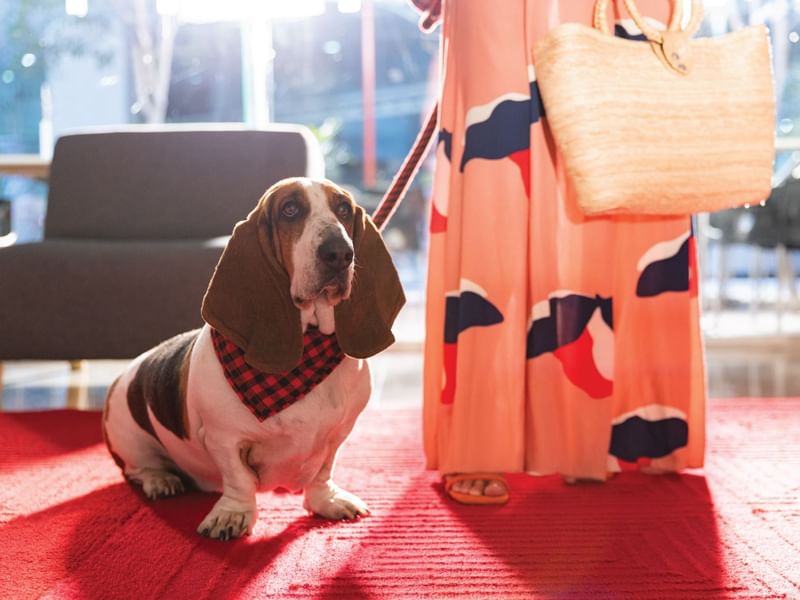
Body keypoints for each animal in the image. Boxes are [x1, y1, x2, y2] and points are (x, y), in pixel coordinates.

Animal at [102, 176, 406, 540]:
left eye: (344, 209)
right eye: (290, 209)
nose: (340, 253)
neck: (309, 344)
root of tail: (128, 371)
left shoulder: (338, 435)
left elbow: (323, 470)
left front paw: (327, 501)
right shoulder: (224, 438)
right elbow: (239, 479)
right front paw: (231, 516)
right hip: (130, 439)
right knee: (138, 469)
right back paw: (160, 480)